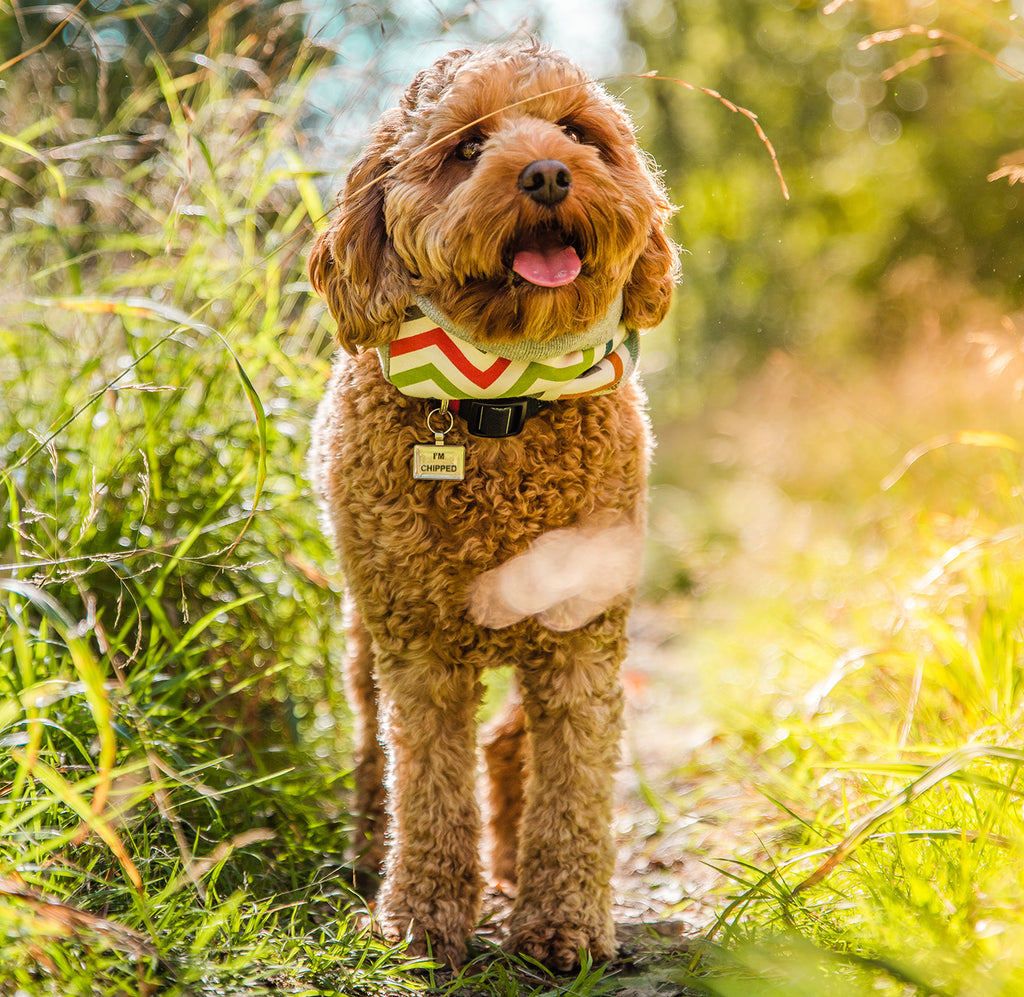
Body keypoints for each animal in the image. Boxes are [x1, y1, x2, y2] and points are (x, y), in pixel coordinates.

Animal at [311, 42, 679, 970]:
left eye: (577, 132)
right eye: (468, 147)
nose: (547, 172)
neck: (500, 398)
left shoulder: (582, 635)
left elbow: (574, 785)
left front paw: (564, 923)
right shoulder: (418, 645)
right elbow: (430, 782)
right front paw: (421, 914)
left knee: (511, 738)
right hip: (364, 633)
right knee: (374, 751)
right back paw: (370, 853)